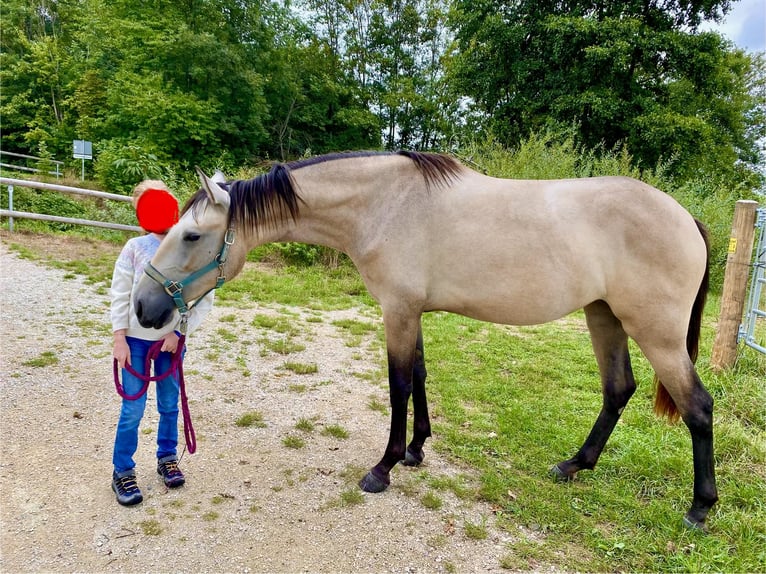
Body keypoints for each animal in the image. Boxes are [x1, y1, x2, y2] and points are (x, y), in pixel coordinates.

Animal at [133, 150, 717, 530]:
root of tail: (686, 217)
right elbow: (418, 377)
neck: (384, 205)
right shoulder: (412, 313)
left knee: (698, 406)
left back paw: (699, 508)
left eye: (190, 235)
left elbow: (397, 386)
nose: (145, 307)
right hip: (605, 318)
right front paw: (416, 450)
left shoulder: (397, 311)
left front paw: (383, 468)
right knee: (618, 390)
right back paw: (573, 467)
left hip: (656, 333)